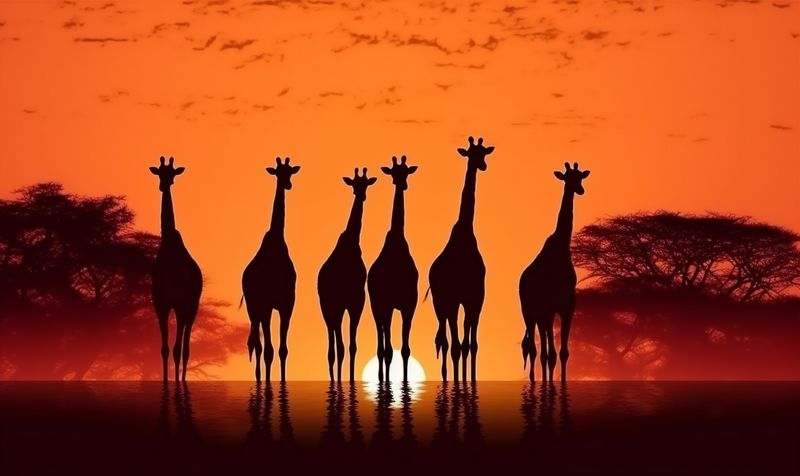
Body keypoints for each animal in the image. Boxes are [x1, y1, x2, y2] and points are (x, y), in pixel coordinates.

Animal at [242, 157, 300, 382]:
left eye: (290, 172)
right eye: (278, 172)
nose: (288, 184)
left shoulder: (287, 303)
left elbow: (283, 350)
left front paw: (283, 382)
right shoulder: (267, 305)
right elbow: (268, 350)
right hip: (253, 307)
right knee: (258, 345)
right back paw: (259, 378)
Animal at [318, 167, 376, 382]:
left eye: (366, 183)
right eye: (354, 184)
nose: (361, 195)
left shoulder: (355, 301)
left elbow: (352, 346)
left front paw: (351, 379)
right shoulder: (349, 301)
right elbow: (345, 346)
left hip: (336, 308)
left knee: (337, 345)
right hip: (328, 307)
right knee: (333, 346)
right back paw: (334, 379)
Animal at [428, 136, 495, 382]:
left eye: (483, 153)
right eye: (471, 153)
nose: (483, 165)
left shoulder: (475, 297)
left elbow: (471, 345)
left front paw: (471, 380)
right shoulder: (457, 298)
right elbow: (459, 345)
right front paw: (460, 381)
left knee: (453, 340)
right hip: (441, 303)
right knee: (447, 342)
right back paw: (448, 377)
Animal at [519, 162, 590, 382]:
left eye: (580, 177)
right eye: (568, 177)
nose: (580, 190)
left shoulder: (568, 306)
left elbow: (563, 352)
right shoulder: (551, 308)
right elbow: (551, 353)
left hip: (540, 315)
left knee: (541, 349)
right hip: (529, 312)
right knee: (534, 348)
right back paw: (535, 379)